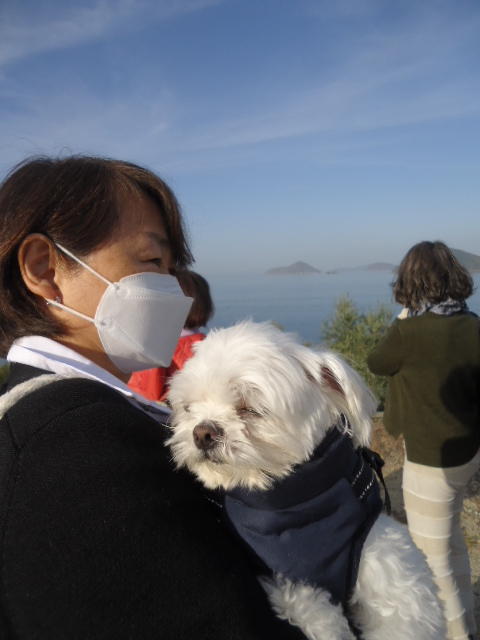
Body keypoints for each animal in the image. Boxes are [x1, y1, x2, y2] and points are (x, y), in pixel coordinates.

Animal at [167, 321, 445, 640]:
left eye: (249, 408)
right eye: (188, 408)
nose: (202, 432)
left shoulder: (393, 573)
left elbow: (404, 618)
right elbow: (311, 606)